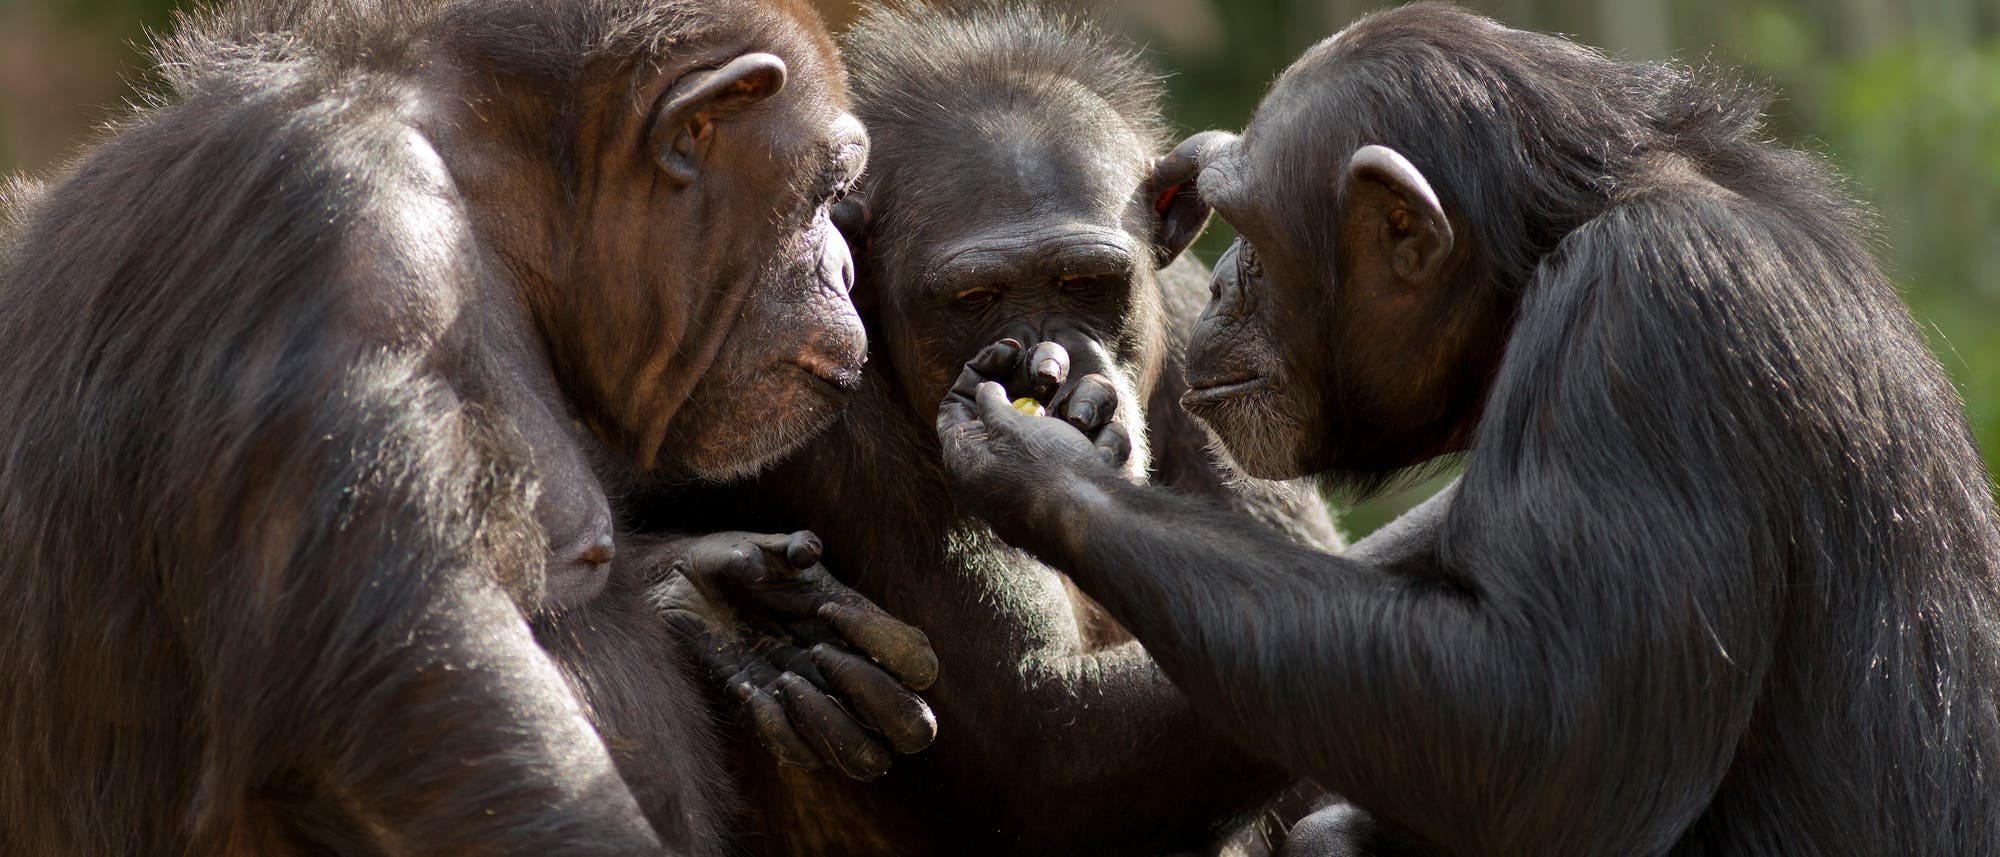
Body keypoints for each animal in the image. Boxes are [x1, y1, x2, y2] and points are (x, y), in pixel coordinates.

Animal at [0, 3, 936, 852]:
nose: (844, 267)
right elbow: (414, 686)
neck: (488, 194)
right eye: (827, 193)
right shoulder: (351, 244)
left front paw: (719, 605)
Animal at [648, 3, 1344, 852]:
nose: (1049, 365)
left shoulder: (1204, 334)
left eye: (1087, 282)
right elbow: (1041, 737)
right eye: (975, 296)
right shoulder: (816, 419)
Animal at [936, 6, 2000, 857]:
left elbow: (1545, 732)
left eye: (1255, 234)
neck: (1545, 253)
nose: (1226, 276)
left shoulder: (1652, 321)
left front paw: (1048, 466)